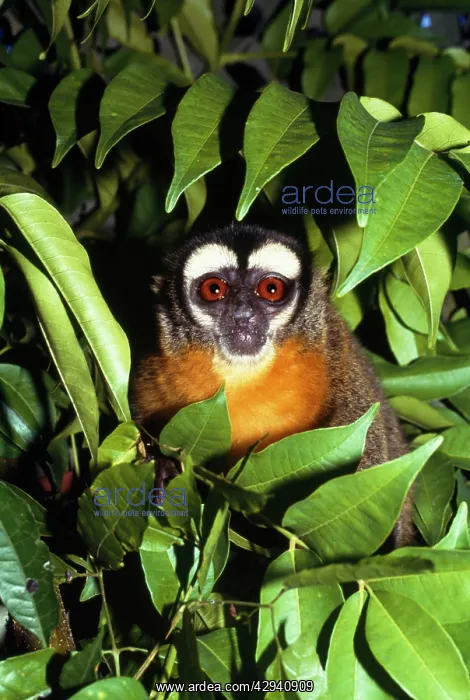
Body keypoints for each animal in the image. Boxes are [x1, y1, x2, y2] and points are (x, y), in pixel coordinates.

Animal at [131, 223, 413, 547]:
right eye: (214, 289)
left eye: (271, 289)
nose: (242, 314)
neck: (243, 374)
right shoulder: (154, 369)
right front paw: (163, 465)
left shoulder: (338, 357)